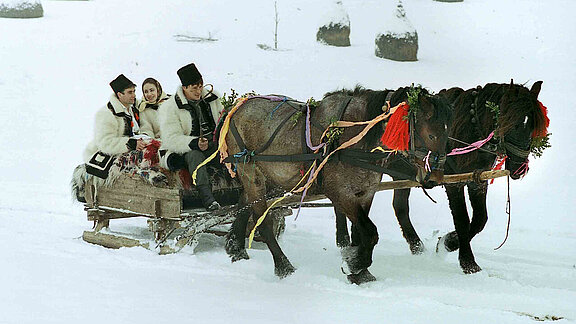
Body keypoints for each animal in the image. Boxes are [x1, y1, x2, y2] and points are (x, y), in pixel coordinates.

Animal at [223, 86, 452, 284]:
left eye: (447, 134)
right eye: (431, 134)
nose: (435, 178)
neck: (354, 139)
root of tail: (237, 107)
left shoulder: (365, 192)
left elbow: (360, 232)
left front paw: (359, 268)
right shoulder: (340, 193)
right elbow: (370, 232)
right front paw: (356, 264)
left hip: (270, 177)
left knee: (244, 205)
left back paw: (236, 248)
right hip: (251, 172)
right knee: (261, 218)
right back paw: (283, 266)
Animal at [392, 81, 548, 274]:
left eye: (533, 126)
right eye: (512, 124)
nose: (519, 168)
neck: (471, 130)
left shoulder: (477, 181)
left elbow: (480, 219)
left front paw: (448, 242)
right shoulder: (454, 182)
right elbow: (462, 219)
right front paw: (468, 262)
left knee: (399, 207)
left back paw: (417, 248)